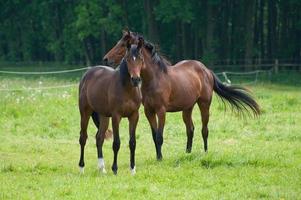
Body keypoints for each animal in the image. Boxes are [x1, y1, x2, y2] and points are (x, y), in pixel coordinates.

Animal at [77, 39, 144, 174]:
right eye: (127, 59)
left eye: (140, 58)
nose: (135, 79)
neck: (127, 89)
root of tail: (87, 74)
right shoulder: (116, 116)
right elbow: (116, 143)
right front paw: (115, 169)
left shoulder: (134, 116)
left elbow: (132, 142)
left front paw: (132, 169)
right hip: (85, 112)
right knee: (83, 137)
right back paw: (81, 168)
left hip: (103, 116)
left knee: (99, 138)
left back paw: (102, 169)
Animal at [102, 30, 258, 161]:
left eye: (123, 45)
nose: (106, 59)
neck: (154, 78)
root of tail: (206, 70)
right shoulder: (149, 111)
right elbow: (154, 135)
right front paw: (158, 156)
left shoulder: (161, 111)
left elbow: (159, 136)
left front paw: (160, 158)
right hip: (187, 108)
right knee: (190, 129)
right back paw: (187, 152)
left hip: (204, 105)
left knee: (204, 130)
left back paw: (205, 152)